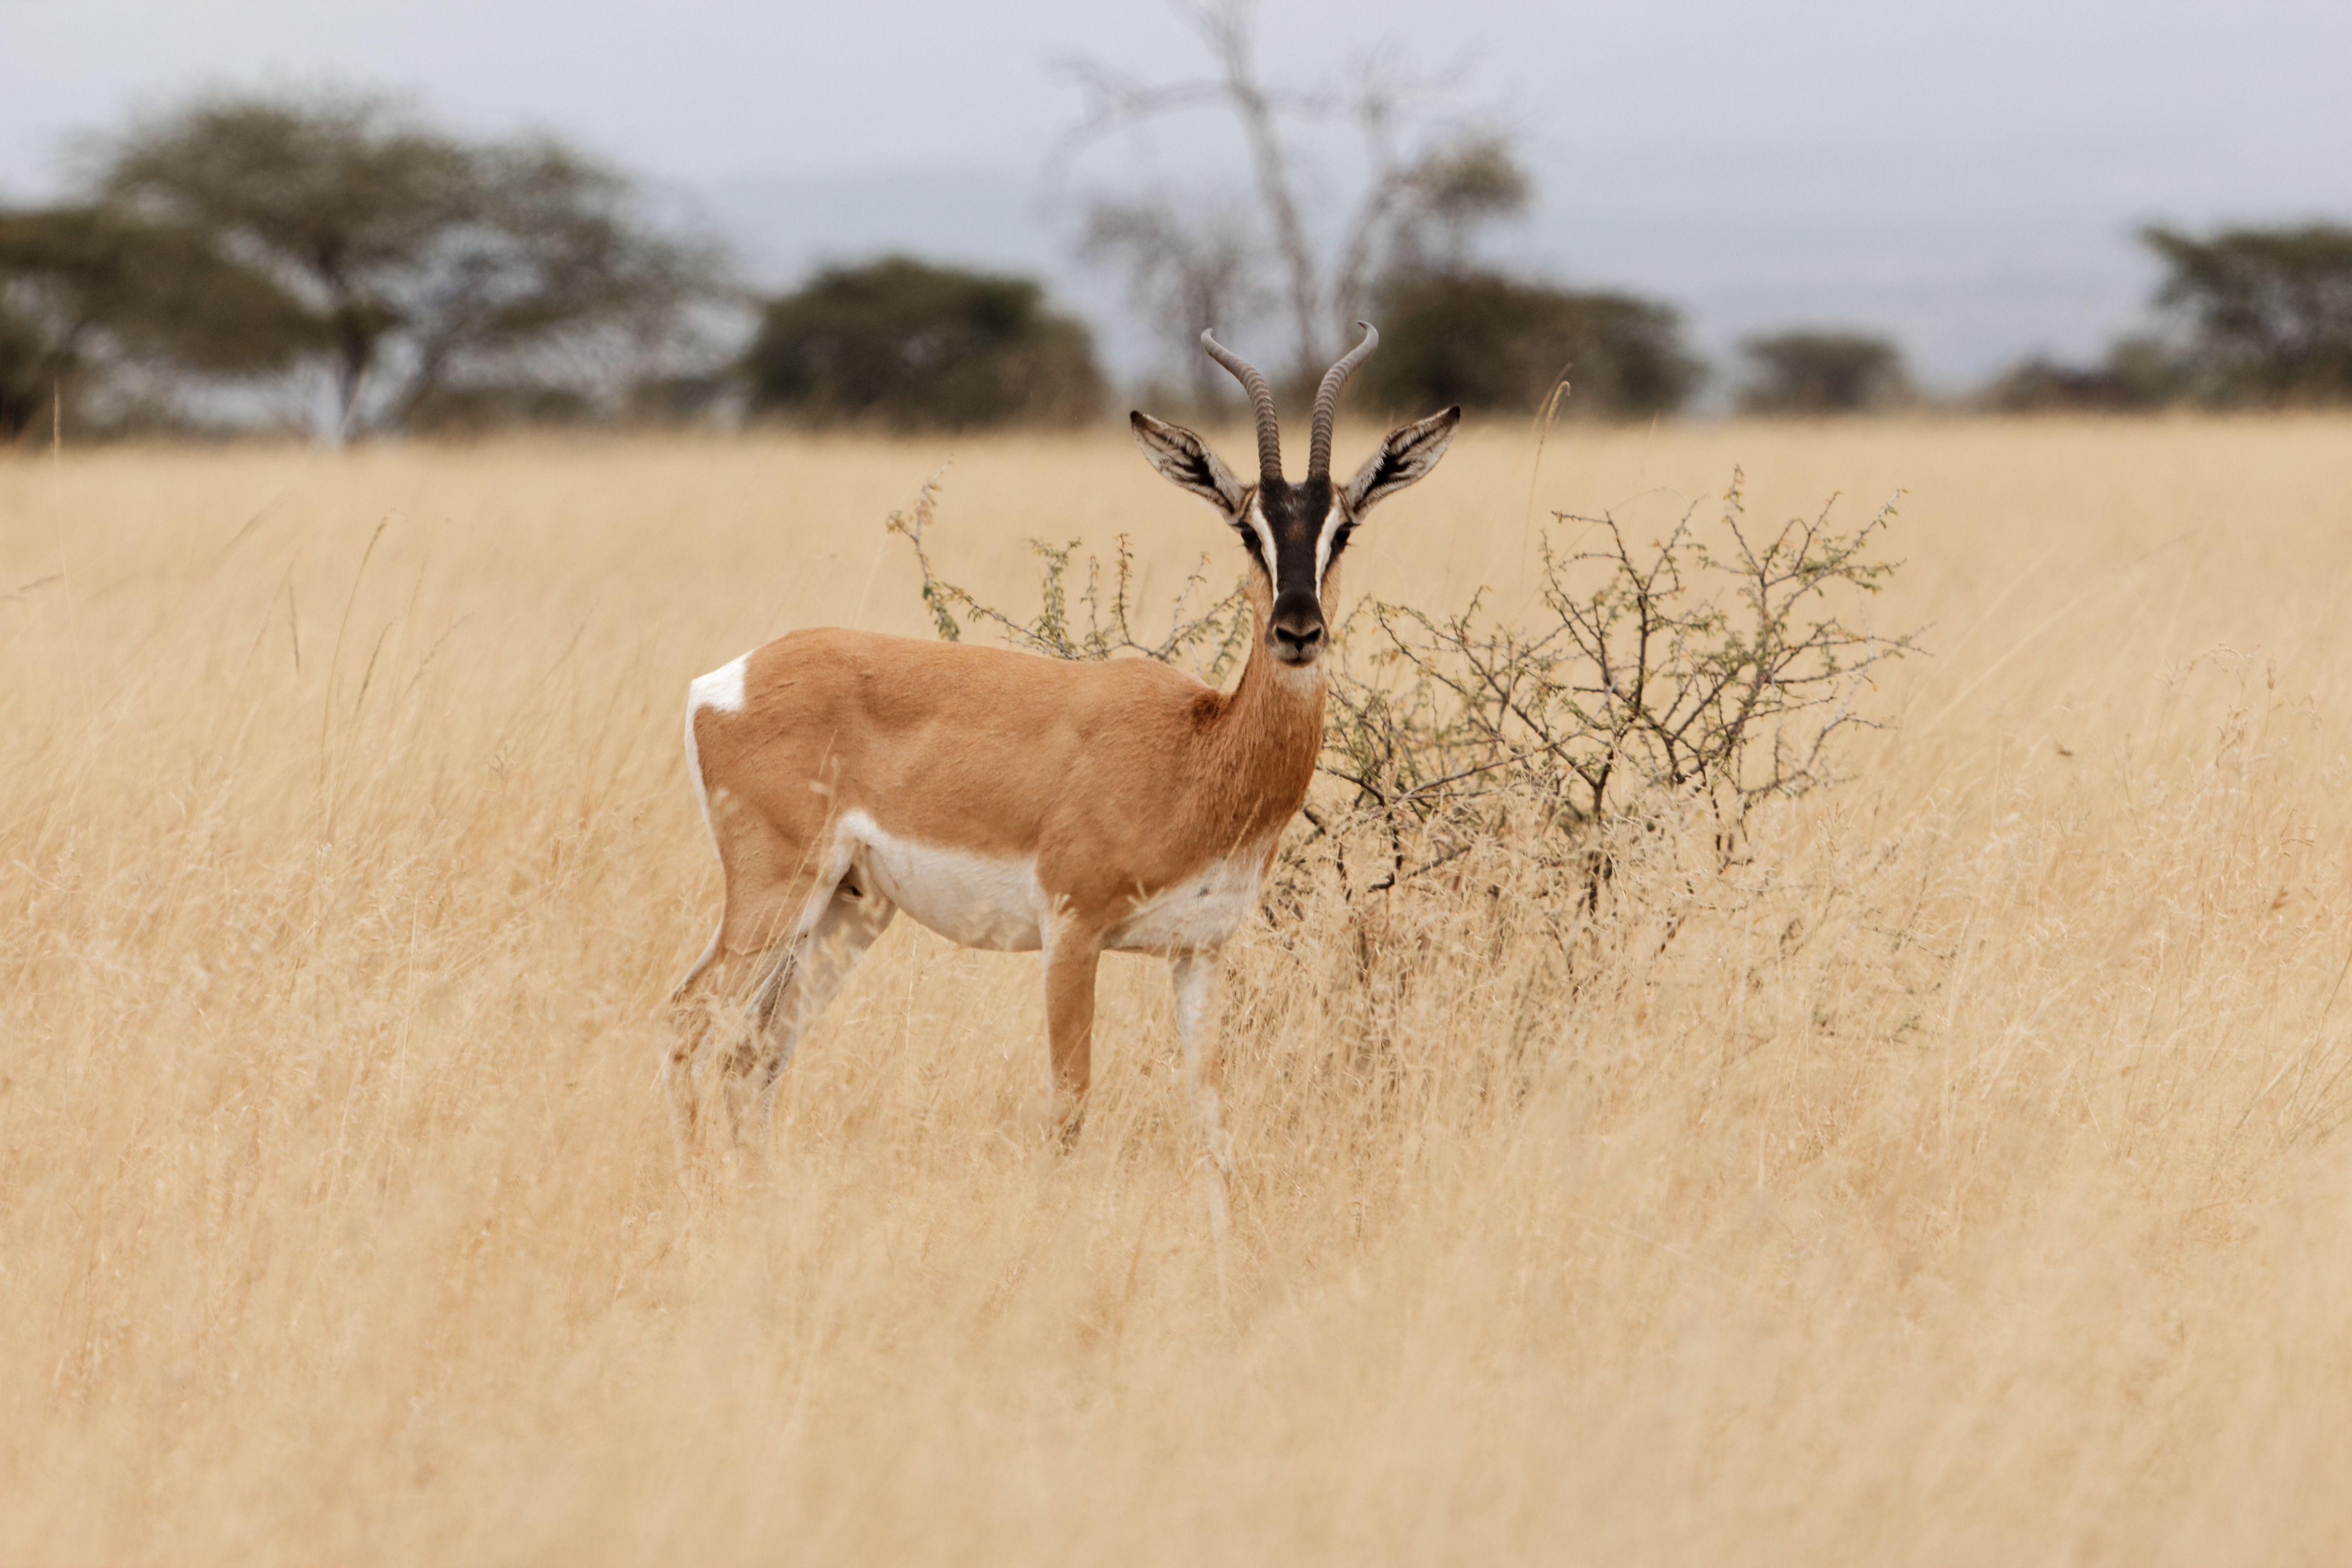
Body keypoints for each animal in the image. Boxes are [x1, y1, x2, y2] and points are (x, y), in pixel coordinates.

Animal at [667, 323, 1459, 1170]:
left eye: (1343, 529)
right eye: (1248, 529)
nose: (1298, 632)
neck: (1196, 751)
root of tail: (724, 681)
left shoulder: (1198, 956)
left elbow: (1211, 1123)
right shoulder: (1072, 934)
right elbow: (1069, 1109)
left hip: (846, 913)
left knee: (752, 1054)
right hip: (775, 896)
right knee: (686, 1021)